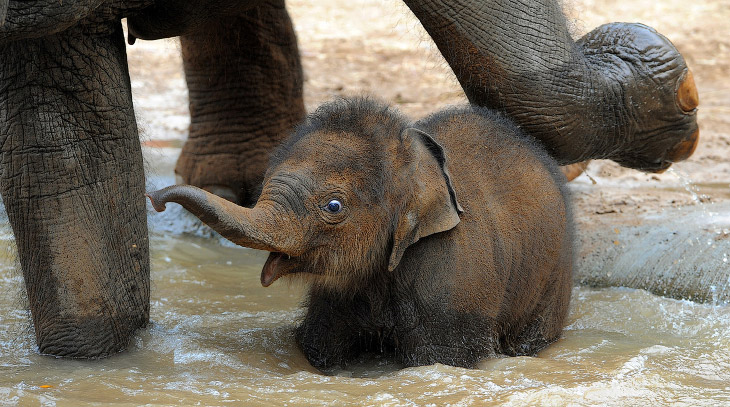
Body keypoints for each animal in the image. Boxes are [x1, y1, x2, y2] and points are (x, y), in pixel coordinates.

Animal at [145, 98, 572, 370]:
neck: (414, 163)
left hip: (553, 279)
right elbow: (320, 345)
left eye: (333, 207)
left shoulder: (452, 283)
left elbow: (443, 358)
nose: (156, 200)